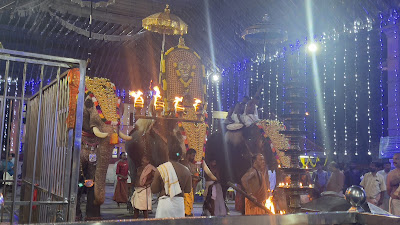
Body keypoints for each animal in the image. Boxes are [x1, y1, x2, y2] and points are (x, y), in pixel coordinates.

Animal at [68, 73, 132, 220]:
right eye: (88, 103)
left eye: (120, 106)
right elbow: (77, 178)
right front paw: (77, 217)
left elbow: (93, 172)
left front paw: (93, 219)